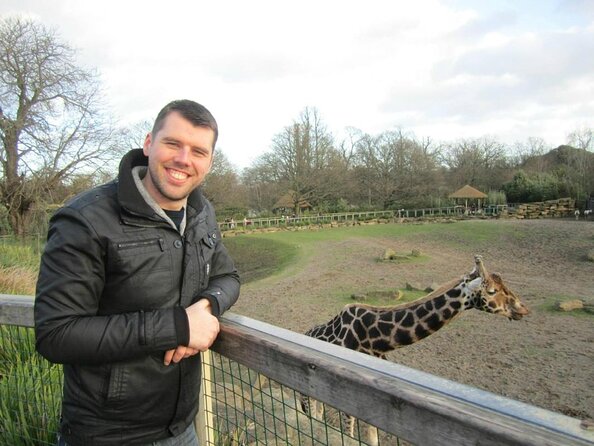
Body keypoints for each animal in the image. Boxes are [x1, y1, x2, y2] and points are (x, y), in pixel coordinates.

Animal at [300, 256, 528, 444]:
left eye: (504, 285)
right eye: (491, 291)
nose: (523, 309)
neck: (373, 340)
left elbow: (372, 438)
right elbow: (349, 436)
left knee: (317, 415)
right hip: (306, 392)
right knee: (310, 414)